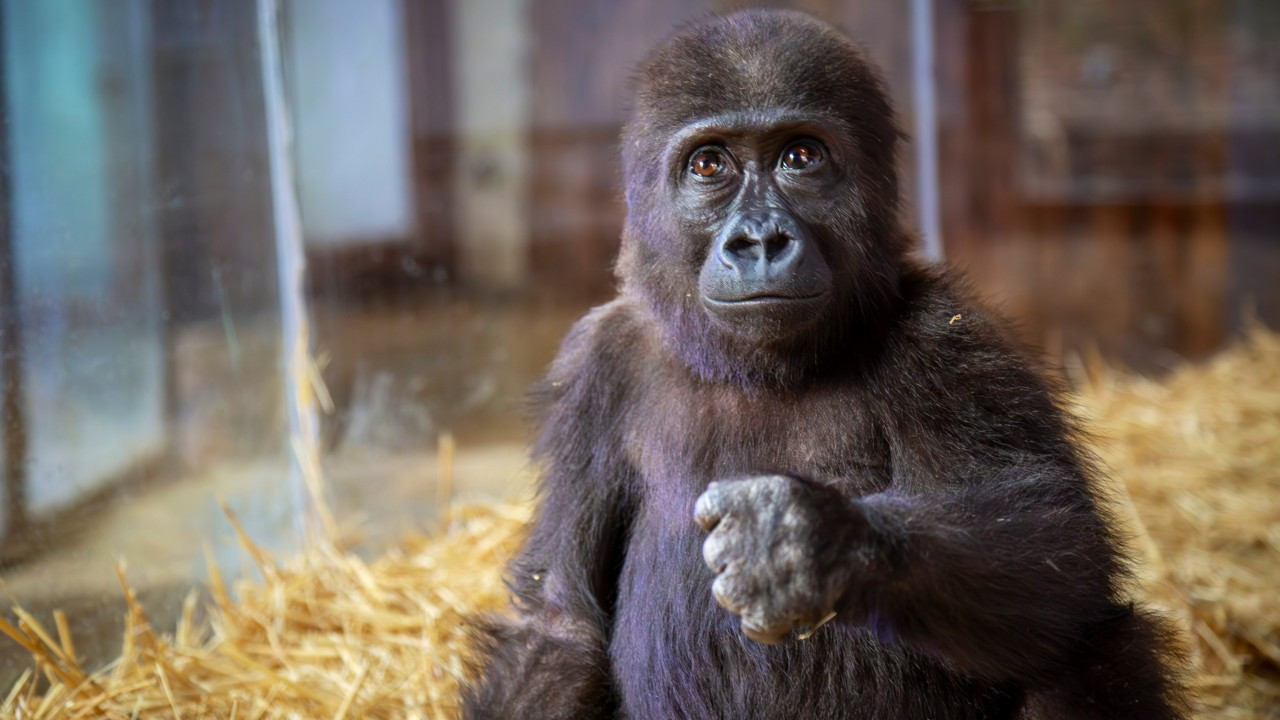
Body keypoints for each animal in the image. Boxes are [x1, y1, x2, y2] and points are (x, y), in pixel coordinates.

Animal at [463, 7, 1187, 717]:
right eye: (708, 165)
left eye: (801, 156)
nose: (760, 240)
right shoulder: (593, 369)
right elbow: (558, 627)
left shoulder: (948, 340)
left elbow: (1058, 548)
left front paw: (809, 542)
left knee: (1084, 643)